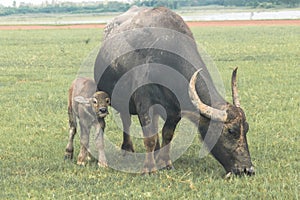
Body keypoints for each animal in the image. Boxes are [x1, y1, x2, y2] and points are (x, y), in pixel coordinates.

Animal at [95, 6, 254, 176]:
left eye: (247, 128)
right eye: (231, 131)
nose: (247, 169)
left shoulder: (174, 109)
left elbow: (167, 134)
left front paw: (165, 163)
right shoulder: (143, 101)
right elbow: (149, 137)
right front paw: (149, 168)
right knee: (126, 121)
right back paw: (127, 149)